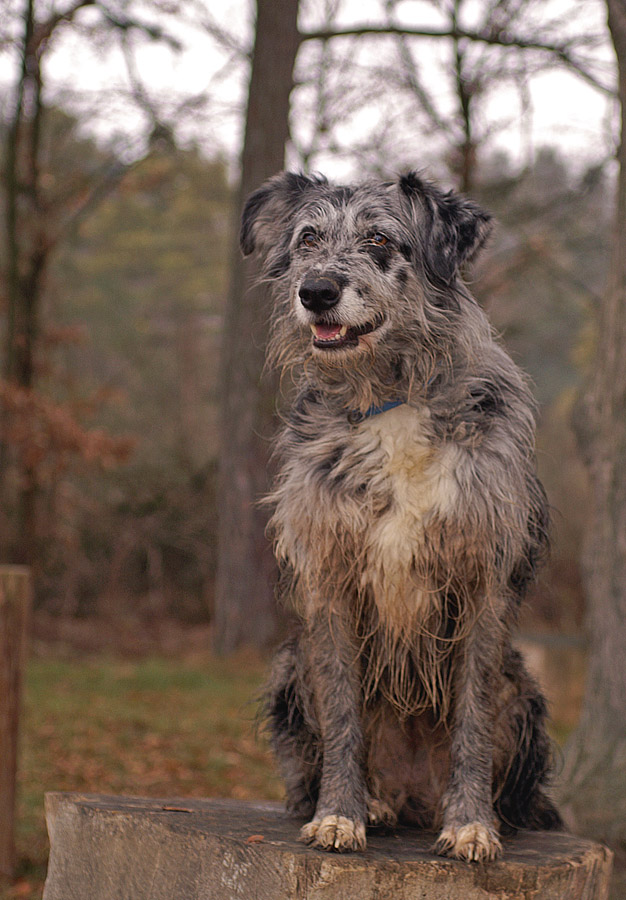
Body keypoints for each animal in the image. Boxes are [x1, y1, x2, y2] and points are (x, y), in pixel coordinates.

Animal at [240, 171, 560, 864]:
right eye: (307, 239)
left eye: (380, 239)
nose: (316, 292)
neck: (389, 396)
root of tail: (416, 793)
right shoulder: (328, 581)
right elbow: (344, 719)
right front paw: (340, 815)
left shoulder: (483, 583)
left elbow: (472, 719)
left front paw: (471, 825)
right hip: (290, 668)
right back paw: (378, 804)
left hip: (523, 692)